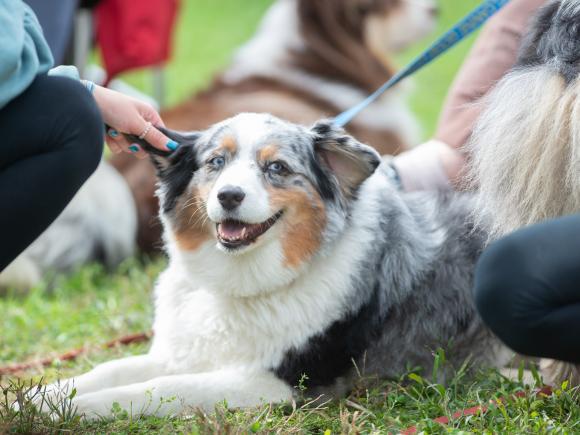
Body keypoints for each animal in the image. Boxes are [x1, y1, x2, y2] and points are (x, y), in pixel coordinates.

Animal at [39, 115, 502, 418]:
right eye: (216, 162)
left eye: (276, 167)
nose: (229, 195)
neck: (243, 282)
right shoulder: (188, 351)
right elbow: (112, 368)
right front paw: (44, 396)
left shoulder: (280, 382)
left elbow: (163, 388)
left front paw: (81, 408)